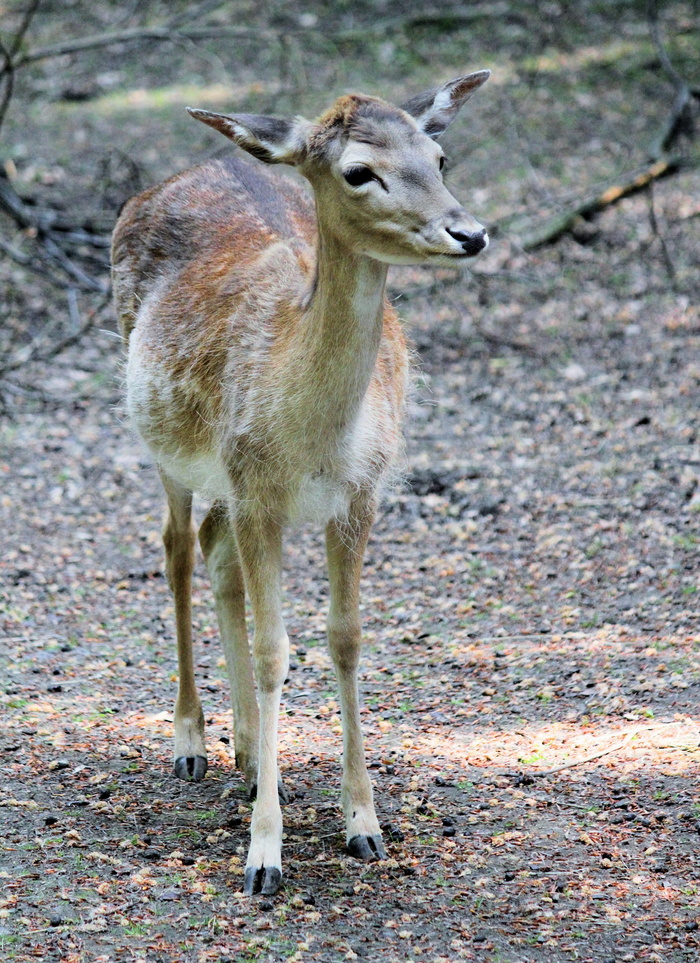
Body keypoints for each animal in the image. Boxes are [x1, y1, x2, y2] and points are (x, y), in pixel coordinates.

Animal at [110, 71, 492, 900]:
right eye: (359, 171)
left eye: (440, 156)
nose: (470, 232)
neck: (315, 439)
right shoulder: (259, 490)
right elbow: (274, 647)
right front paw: (264, 855)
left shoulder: (360, 496)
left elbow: (344, 638)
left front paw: (364, 823)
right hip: (164, 439)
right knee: (176, 546)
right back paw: (193, 740)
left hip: (228, 480)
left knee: (213, 548)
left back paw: (251, 754)